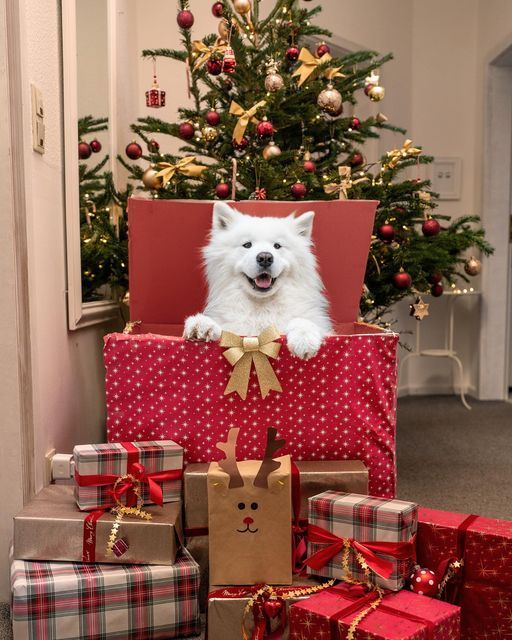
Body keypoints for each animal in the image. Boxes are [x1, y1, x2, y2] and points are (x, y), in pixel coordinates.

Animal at [184, 202, 332, 358]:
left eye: (277, 246)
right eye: (247, 245)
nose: (265, 257)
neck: (261, 309)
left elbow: (302, 321)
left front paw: (304, 339)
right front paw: (201, 325)